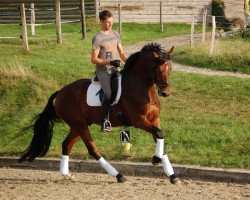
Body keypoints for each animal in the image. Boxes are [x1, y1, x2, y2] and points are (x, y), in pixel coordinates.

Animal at [19, 43, 180, 184]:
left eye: (170, 68)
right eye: (159, 69)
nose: (165, 92)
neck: (141, 87)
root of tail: (60, 92)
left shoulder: (154, 119)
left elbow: (160, 138)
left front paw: (172, 175)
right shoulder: (138, 120)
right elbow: (159, 134)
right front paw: (156, 160)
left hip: (77, 126)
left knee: (66, 145)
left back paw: (66, 174)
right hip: (80, 125)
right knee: (92, 149)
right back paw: (119, 176)